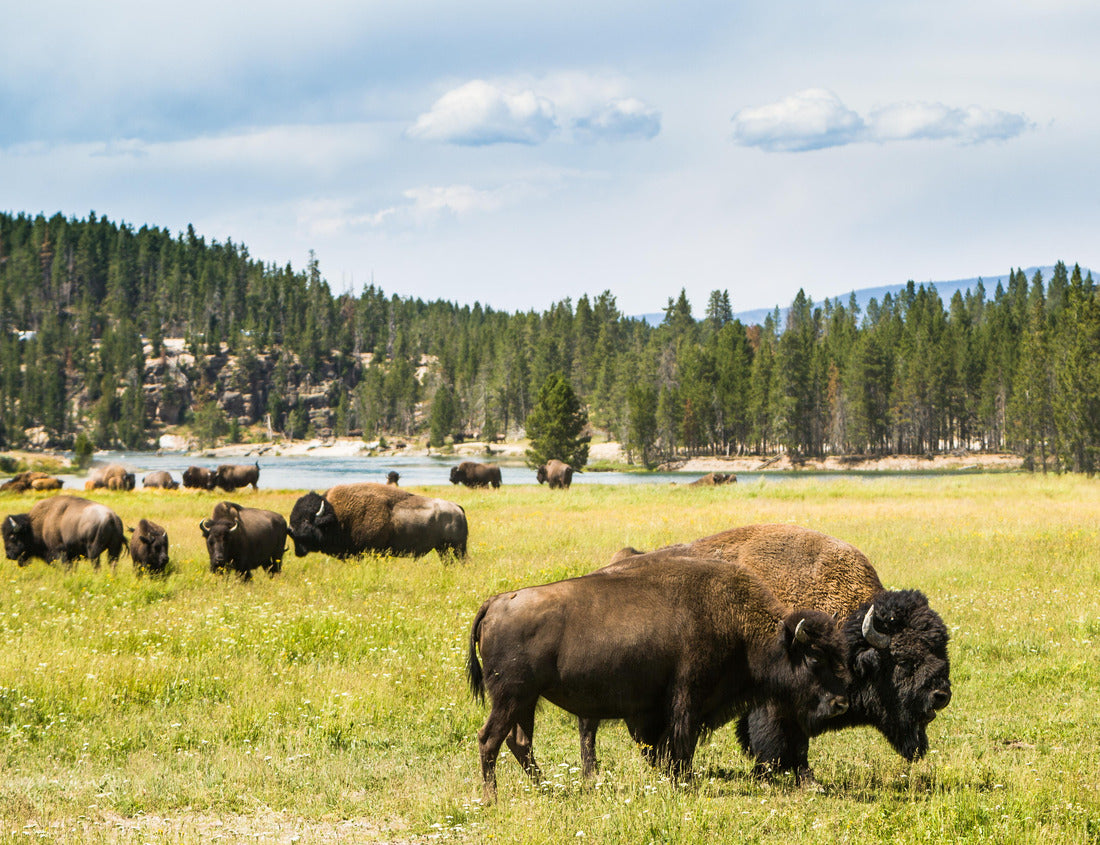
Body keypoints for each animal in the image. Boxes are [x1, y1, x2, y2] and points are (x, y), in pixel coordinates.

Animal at [290, 482, 467, 560]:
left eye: (307, 522)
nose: (298, 551)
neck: (337, 517)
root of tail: (457, 508)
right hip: (443, 549)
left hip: (457, 547)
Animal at [468, 551, 850, 801]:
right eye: (814, 657)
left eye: (838, 655)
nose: (841, 703)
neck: (740, 625)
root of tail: (496, 601)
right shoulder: (687, 699)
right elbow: (681, 743)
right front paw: (685, 782)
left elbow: (666, 745)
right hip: (510, 696)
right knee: (489, 739)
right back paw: (492, 798)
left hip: (526, 700)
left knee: (519, 742)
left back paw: (547, 788)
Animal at [607, 524, 951, 782]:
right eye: (904, 660)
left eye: (941, 649)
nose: (941, 695)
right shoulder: (779, 703)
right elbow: (786, 741)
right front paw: (797, 779)